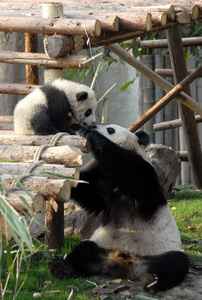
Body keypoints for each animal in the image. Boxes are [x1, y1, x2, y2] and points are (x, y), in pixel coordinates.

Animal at [49, 123, 189, 292]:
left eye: (110, 129)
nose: (92, 125)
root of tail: (124, 263)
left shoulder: (146, 175)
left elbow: (128, 170)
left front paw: (91, 135)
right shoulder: (101, 188)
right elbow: (87, 191)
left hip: (158, 250)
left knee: (175, 262)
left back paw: (152, 281)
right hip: (103, 246)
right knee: (84, 250)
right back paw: (61, 268)